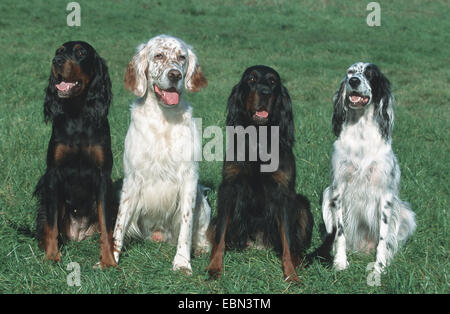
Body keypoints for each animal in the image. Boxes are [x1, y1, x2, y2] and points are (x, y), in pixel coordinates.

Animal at [112, 35, 211, 274]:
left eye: (182, 57)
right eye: (158, 56)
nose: (175, 75)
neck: (163, 119)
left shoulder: (189, 179)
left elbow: (186, 228)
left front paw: (182, 263)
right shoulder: (131, 180)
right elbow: (118, 225)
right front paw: (109, 260)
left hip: (202, 202)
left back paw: (201, 248)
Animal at [322, 62, 416, 274]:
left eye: (371, 74)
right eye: (350, 72)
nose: (354, 81)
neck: (361, 132)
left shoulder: (385, 195)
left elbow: (383, 236)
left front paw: (379, 266)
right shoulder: (337, 189)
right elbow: (340, 232)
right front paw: (340, 262)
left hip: (406, 213)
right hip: (326, 196)